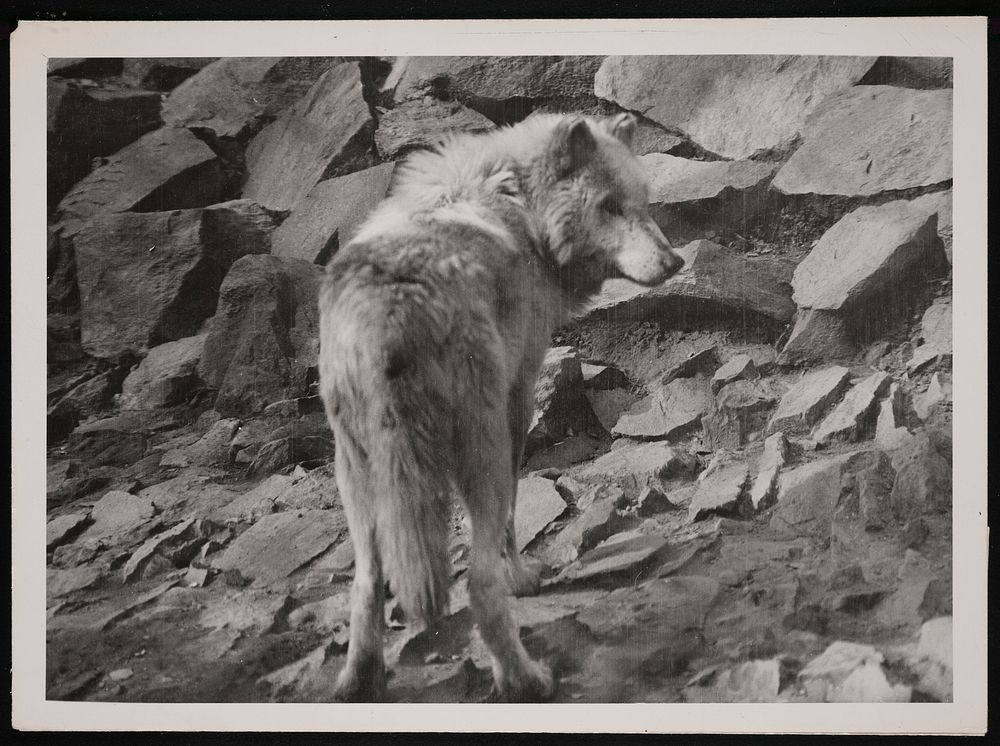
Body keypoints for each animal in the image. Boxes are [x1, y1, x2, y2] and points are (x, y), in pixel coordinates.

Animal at [316, 110, 684, 696]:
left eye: (643, 203)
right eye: (609, 206)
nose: (674, 262)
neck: (521, 207)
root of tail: (391, 310)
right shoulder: (519, 397)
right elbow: (513, 510)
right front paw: (523, 577)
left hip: (356, 477)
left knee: (367, 585)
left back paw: (358, 684)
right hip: (478, 450)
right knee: (480, 584)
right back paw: (526, 680)